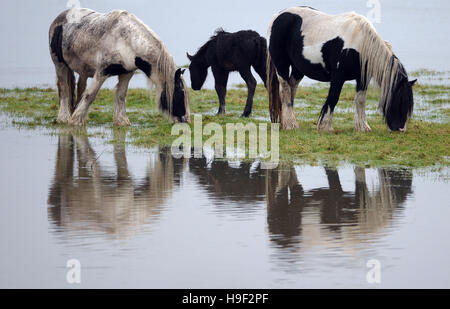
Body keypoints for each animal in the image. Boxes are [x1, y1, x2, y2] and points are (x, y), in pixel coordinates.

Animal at [48, 7, 189, 125]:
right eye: (179, 93)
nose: (185, 120)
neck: (127, 41)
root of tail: (59, 18)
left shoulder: (126, 73)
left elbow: (121, 96)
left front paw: (121, 121)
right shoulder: (102, 72)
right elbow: (90, 96)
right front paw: (75, 121)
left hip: (83, 71)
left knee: (80, 87)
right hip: (59, 65)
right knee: (64, 90)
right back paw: (64, 118)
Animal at [266, 6, 416, 130]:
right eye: (400, 100)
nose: (401, 128)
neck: (361, 44)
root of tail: (278, 15)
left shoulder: (363, 78)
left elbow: (360, 99)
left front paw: (363, 127)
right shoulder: (338, 76)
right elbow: (333, 97)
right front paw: (325, 126)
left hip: (299, 69)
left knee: (291, 89)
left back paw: (286, 122)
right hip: (281, 65)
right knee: (285, 90)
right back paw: (290, 125)